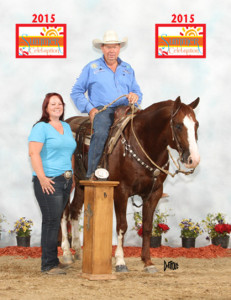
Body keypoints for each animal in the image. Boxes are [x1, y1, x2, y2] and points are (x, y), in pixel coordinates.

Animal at [60, 96, 199, 272]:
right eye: (179, 125)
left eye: (196, 124)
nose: (193, 159)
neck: (142, 144)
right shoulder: (121, 191)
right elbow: (122, 225)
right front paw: (120, 261)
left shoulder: (154, 193)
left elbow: (147, 227)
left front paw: (147, 262)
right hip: (66, 180)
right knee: (63, 213)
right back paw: (66, 253)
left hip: (81, 184)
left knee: (74, 210)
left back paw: (78, 251)